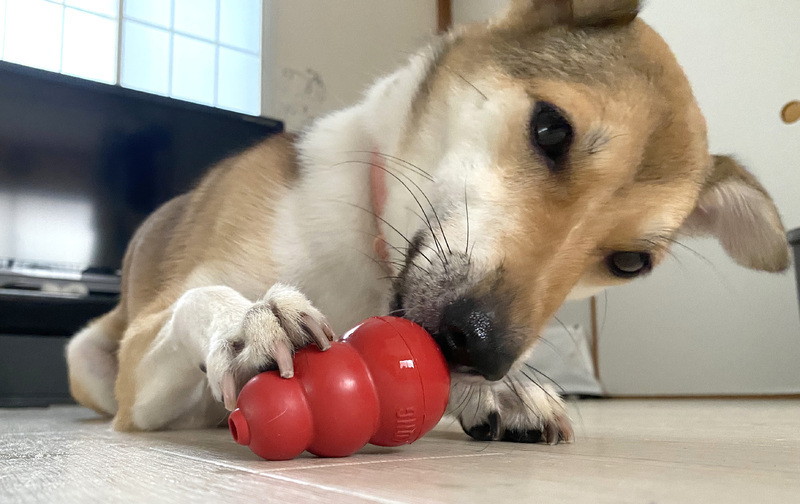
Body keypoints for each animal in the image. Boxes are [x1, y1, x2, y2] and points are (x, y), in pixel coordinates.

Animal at [66, 0, 790, 443]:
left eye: (631, 262)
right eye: (550, 129)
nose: (487, 353)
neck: (367, 256)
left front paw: (510, 391)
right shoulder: (141, 380)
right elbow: (201, 301)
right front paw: (246, 321)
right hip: (90, 360)